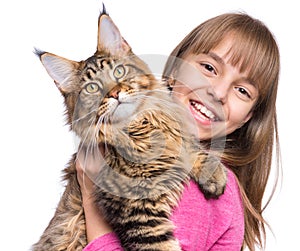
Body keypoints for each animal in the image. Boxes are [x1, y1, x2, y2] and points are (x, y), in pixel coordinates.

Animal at [31, 6, 226, 250]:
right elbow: (161, 245)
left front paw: (213, 174)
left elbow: (187, 144)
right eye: (92, 88)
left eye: (119, 72)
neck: (139, 125)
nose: (115, 93)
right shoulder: (136, 208)